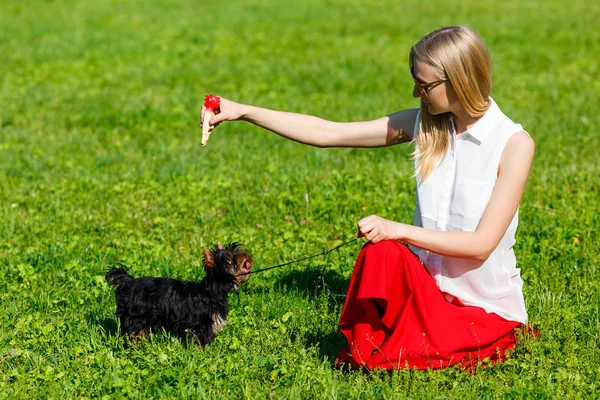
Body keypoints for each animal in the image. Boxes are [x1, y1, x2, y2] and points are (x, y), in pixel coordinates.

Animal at [105, 242, 251, 348]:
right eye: (230, 259)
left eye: (236, 251)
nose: (245, 254)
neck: (212, 290)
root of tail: (128, 283)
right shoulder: (202, 324)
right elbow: (199, 341)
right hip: (136, 317)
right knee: (131, 333)